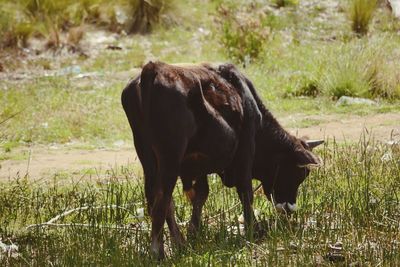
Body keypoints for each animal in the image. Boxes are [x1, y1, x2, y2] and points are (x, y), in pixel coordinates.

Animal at [120, 61, 324, 260]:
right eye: (300, 172)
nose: (289, 208)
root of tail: (154, 68)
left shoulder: (200, 165)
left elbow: (202, 194)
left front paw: (194, 232)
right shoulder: (245, 150)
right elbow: (245, 192)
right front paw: (253, 230)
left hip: (147, 157)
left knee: (157, 199)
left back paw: (179, 243)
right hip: (170, 156)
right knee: (162, 199)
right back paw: (158, 251)